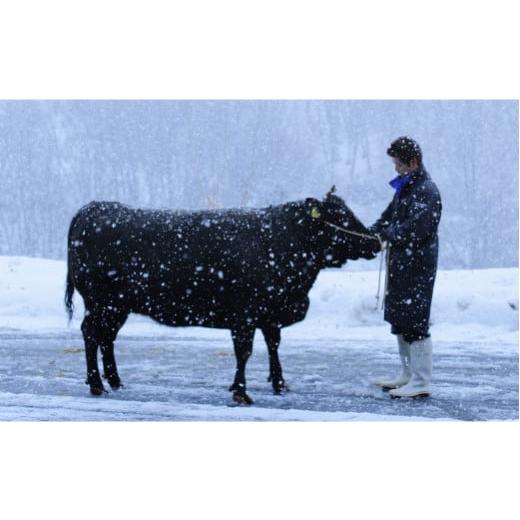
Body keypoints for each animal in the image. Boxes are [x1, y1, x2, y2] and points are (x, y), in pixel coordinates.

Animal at [65, 189, 378, 404]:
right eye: (339, 217)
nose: (375, 241)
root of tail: (95, 207)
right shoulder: (245, 314)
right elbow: (244, 352)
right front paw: (241, 392)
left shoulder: (270, 314)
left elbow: (274, 346)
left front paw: (279, 383)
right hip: (101, 303)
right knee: (91, 334)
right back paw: (96, 384)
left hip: (118, 306)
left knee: (107, 338)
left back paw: (116, 381)